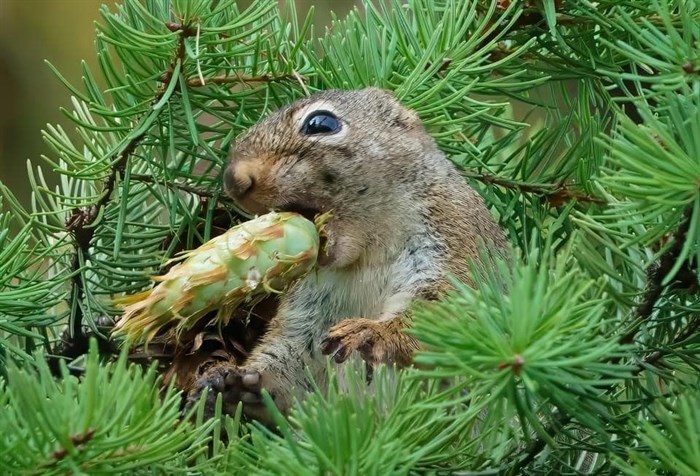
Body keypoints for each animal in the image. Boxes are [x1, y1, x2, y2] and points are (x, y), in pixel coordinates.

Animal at [186, 87, 508, 422]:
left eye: (320, 123)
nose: (233, 180)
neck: (368, 253)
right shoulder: (308, 308)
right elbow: (293, 361)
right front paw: (235, 384)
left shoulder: (459, 240)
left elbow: (449, 310)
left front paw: (372, 333)